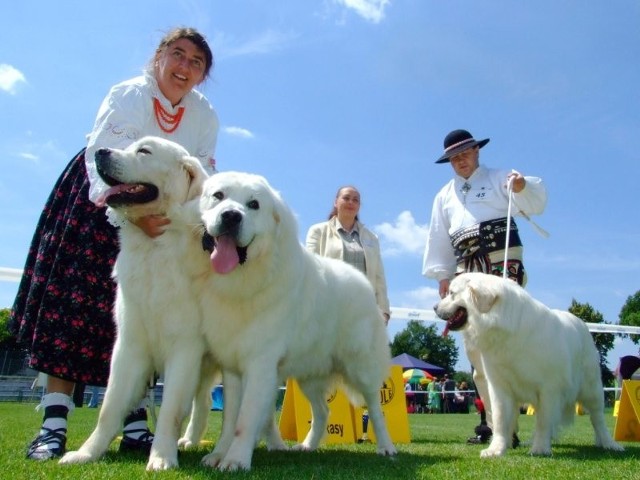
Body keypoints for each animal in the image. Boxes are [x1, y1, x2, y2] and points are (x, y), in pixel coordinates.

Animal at [196, 172, 396, 468]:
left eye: (254, 204)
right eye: (218, 196)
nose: (231, 216)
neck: (247, 278)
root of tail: (362, 282)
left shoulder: (260, 363)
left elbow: (245, 418)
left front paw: (235, 460)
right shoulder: (232, 367)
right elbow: (230, 420)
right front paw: (219, 454)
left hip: (361, 366)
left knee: (374, 407)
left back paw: (386, 447)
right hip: (310, 375)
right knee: (323, 411)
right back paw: (307, 446)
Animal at [436, 274, 624, 458]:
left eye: (452, 293)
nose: (434, 307)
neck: (507, 331)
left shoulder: (549, 389)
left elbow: (543, 421)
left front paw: (540, 448)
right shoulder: (499, 388)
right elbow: (499, 419)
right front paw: (496, 449)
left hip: (591, 389)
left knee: (597, 419)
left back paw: (609, 444)